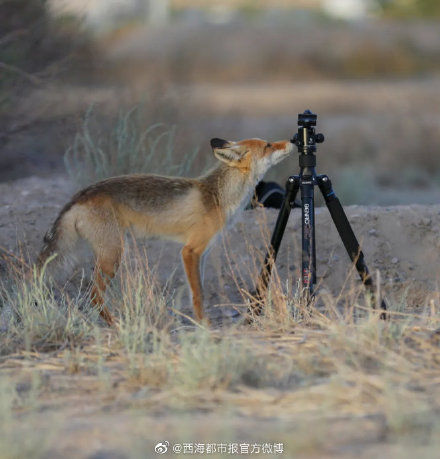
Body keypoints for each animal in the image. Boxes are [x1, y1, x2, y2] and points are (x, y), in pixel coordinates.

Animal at [37, 138, 292, 326]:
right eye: (268, 145)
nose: (291, 141)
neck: (218, 197)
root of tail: (79, 196)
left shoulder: (202, 253)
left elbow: (195, 290)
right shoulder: (190, 251)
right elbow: (198, 295)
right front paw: (204, 326)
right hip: (113, 255)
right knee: (93, 296)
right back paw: (116, 325)